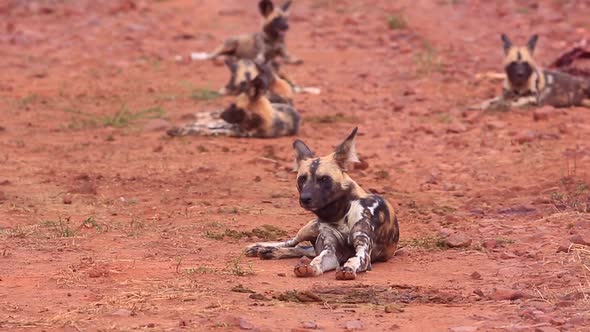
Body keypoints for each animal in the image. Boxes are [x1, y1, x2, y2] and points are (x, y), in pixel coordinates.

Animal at [166, 70, 300, 137]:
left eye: (233, 106)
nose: (223, 115)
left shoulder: (232, 129)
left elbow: (200, 129)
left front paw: (180, 131)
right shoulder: (228, 124)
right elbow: (199, 125)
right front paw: (180, 128)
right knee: (207, 118)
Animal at [245, 127, 402, 280]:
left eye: (324, 179)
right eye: (302, 179)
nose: (305, 198)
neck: (339, 216)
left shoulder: (363, 252)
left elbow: (353, 259)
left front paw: (347, 269)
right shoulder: (331, 251)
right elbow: (318, 259)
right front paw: (310, 268)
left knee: (301, 249)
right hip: (308, 229)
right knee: (292, 242)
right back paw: (262, 248)